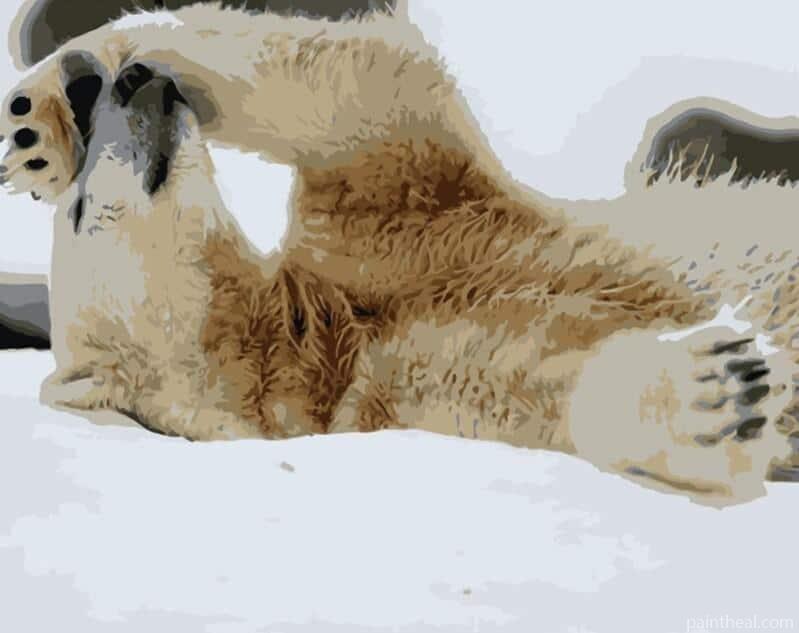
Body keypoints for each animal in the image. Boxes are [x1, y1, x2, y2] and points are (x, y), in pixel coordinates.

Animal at [0, 5, 796, 505]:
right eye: (84, 212)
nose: (126, 89)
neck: (321, 327)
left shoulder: (396, 235)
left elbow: (364, 98)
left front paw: (43, 118)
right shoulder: (397, 379)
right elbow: (537, 381)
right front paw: (713, 391)